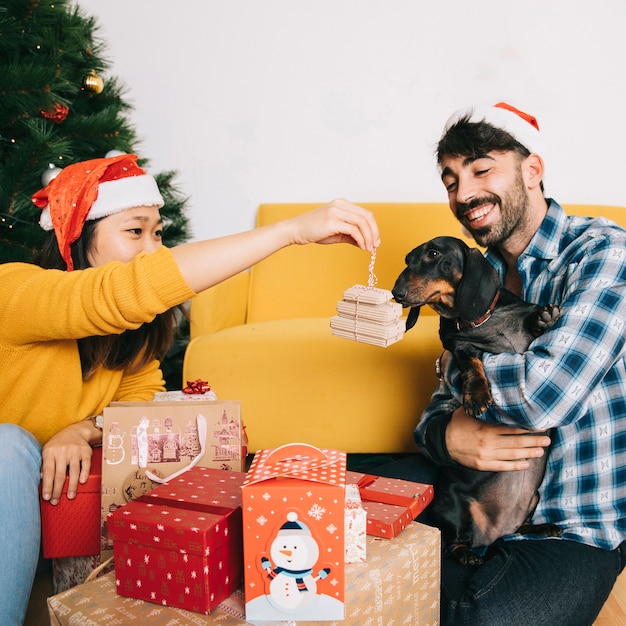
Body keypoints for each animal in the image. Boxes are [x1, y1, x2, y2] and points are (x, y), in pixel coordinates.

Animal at [390, 235, 560, 564]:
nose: (396, 294)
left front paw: (542, 317)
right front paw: (478, 394)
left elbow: (532, 326)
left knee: (521, 525)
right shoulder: (459, 346)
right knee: (453, 541)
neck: (482, 321)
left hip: (533, 498)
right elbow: (472, 364)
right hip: (451, 503)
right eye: (406, 260)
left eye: (433, 254)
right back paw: (466, 554)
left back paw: (543, 527)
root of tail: (493, 534)